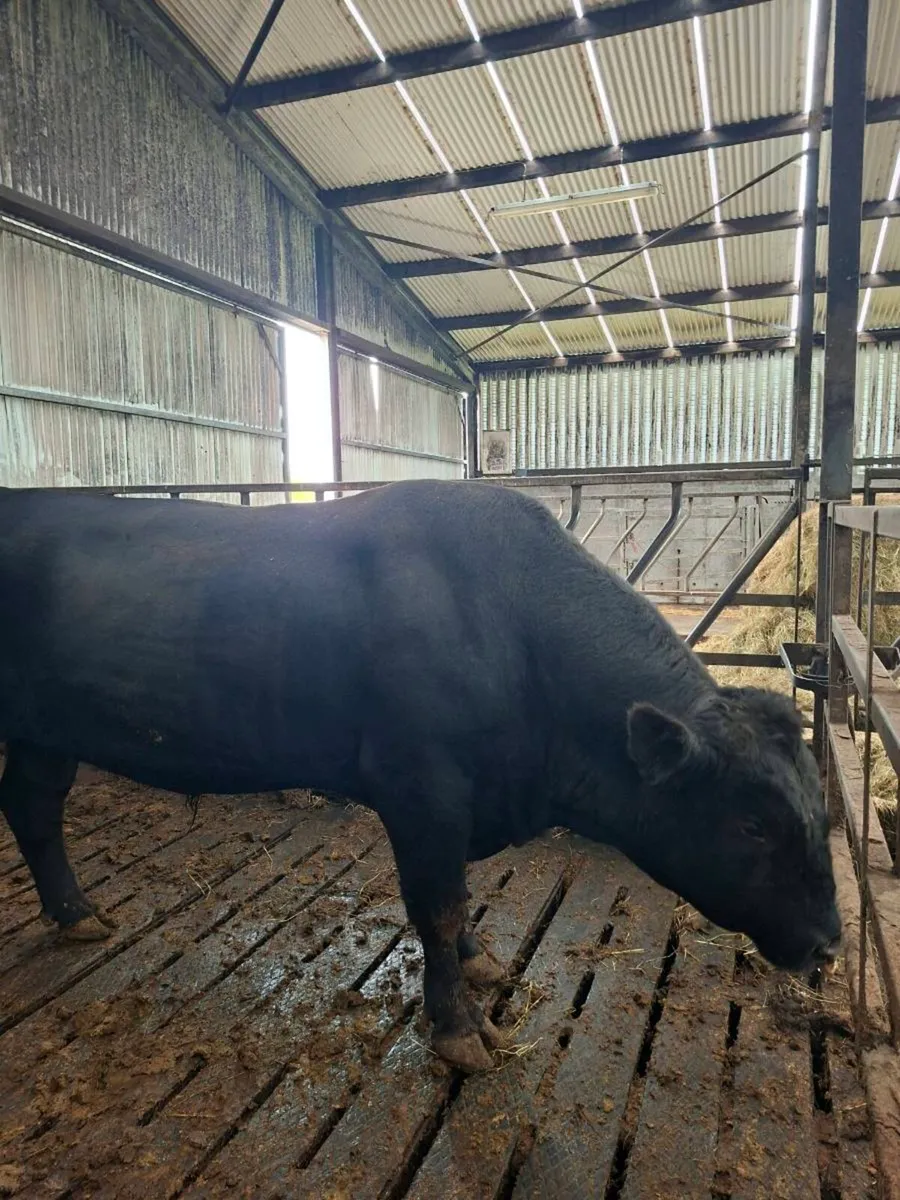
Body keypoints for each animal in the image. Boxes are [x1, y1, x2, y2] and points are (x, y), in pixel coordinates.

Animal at [0, 481, 840, 1072]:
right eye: (752, 824)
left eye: (817, 806)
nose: (829, 944)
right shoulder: (421, 788)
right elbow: (434, 906)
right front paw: (460, 1028)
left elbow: (457, 904)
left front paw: (478, 960)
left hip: (46, 733)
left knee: (33, 810)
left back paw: (76, 914)